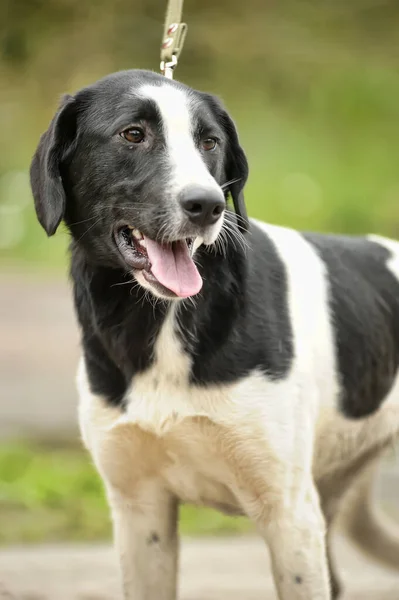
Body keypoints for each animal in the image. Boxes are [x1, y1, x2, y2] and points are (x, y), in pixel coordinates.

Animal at [29, 71, 399, 600]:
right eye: (133, 134)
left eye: (210, 141)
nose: (206, 205)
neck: (159, 322)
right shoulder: (139, 512)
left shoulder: (289, 513)